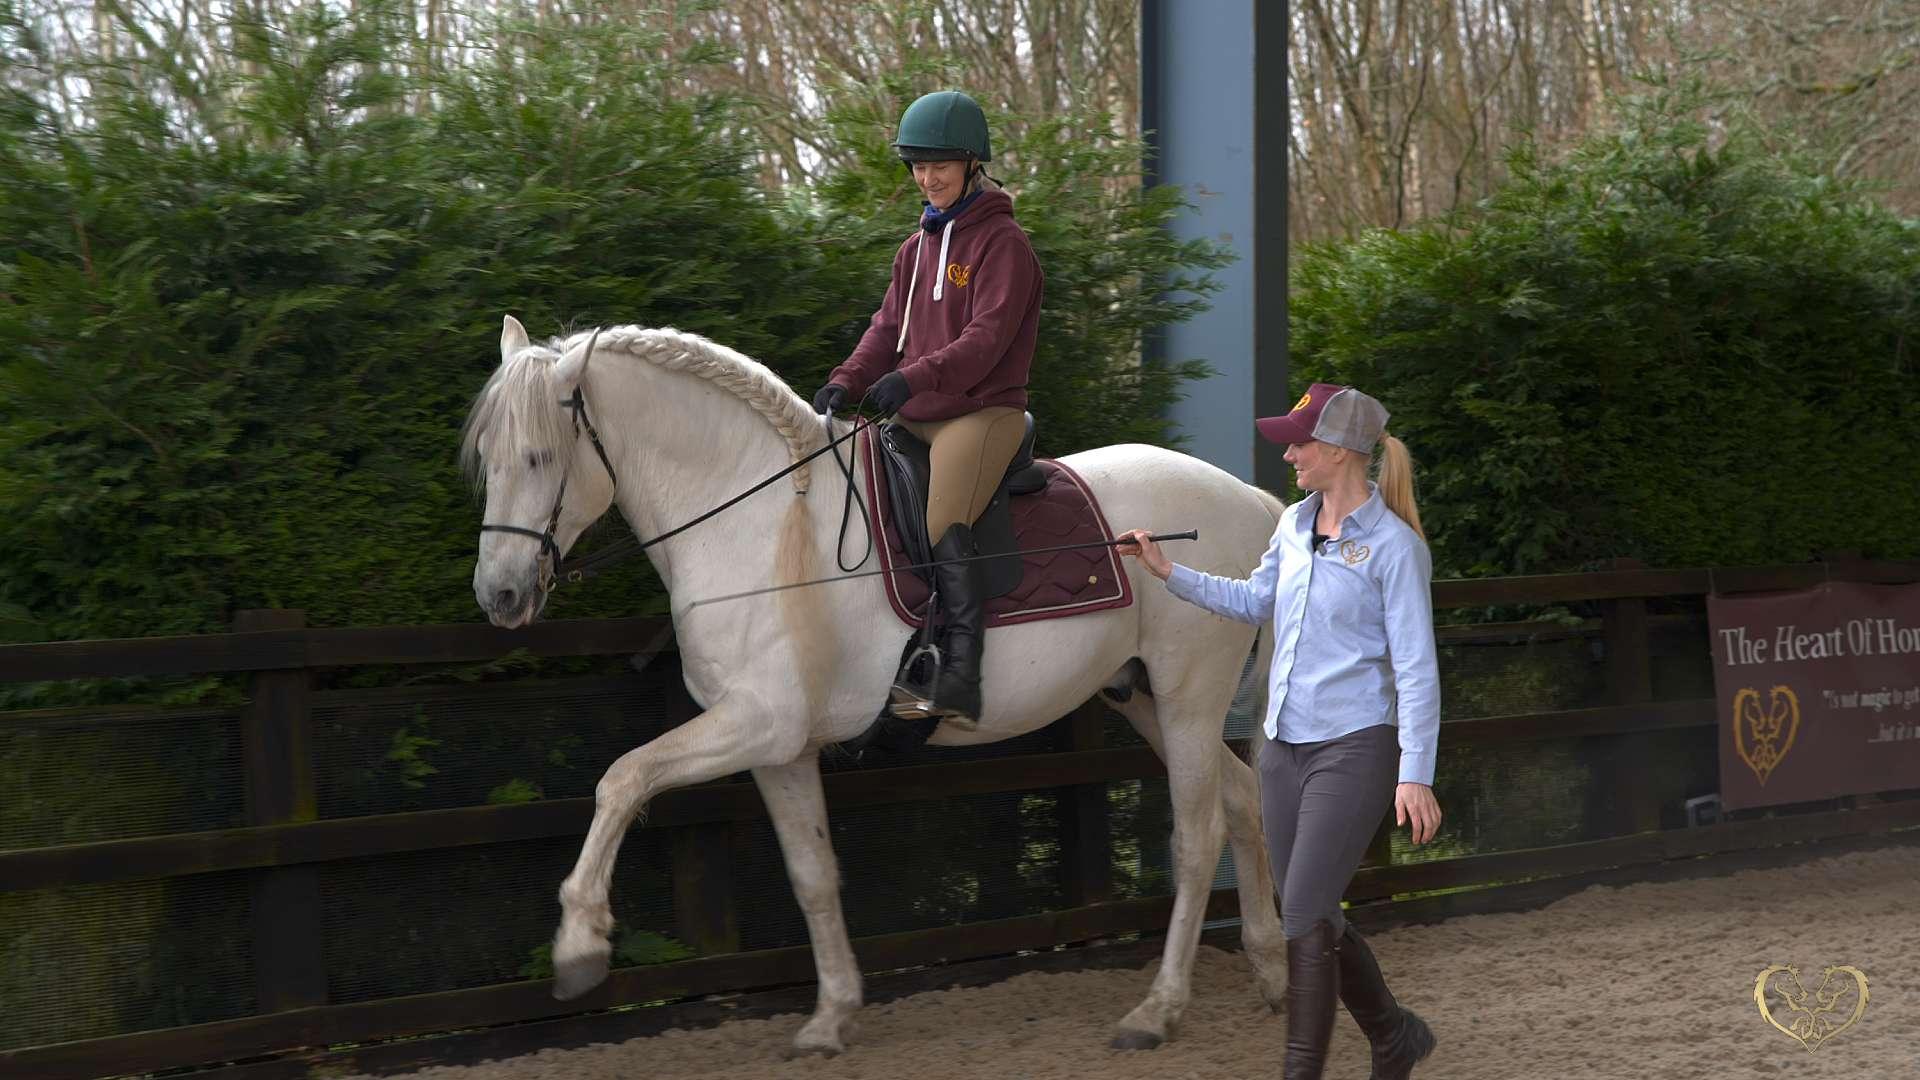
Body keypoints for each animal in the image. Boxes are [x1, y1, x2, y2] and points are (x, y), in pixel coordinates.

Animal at [463, 316, 1288, 1055]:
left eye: (538, 457)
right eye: (485, 461)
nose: (499, 596)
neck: (759, 522)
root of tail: (1249, 498)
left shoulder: (757, 722)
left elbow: (622, 779)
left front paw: (579, 948)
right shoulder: (780, 748)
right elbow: (812, 875)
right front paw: (830, 1020)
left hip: (1187, 699)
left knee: (1197, 837)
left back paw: (1158, 1011)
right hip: (1144, 698)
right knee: (1243, 797)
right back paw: (1271, 966)